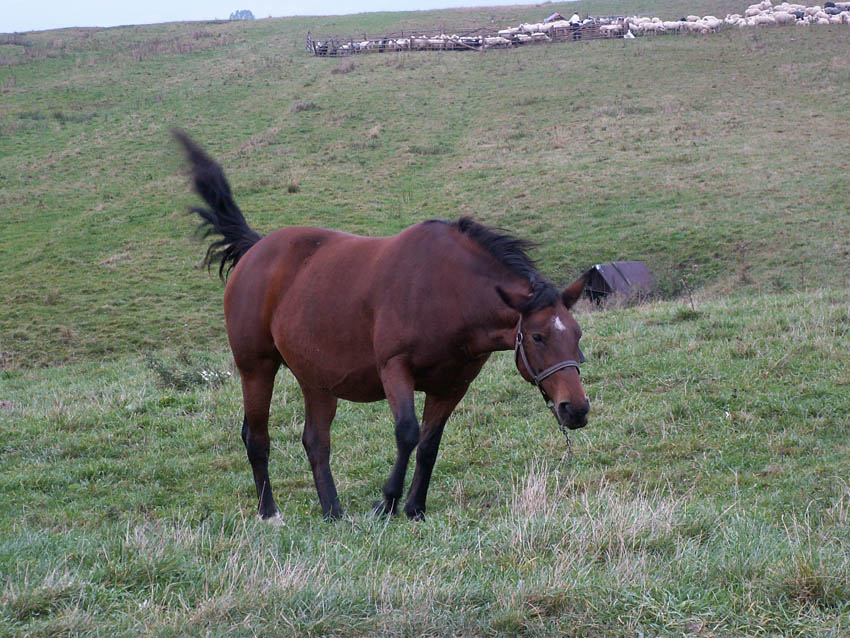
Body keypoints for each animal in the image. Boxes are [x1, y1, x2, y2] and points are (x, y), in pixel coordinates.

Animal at [176, 131, 588, 524]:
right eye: (538, 336)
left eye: (577, 334)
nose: (577, 409)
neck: (447, 291)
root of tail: (255, 249)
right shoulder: (395, 368)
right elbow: (407, 433)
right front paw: (386, 503)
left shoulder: (451, 386)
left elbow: (429, 445)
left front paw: (415, 507)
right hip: (257, 368)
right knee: (256, 438)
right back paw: (269, 513)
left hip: (316, 380)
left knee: (316, 441)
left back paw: (333, 513)